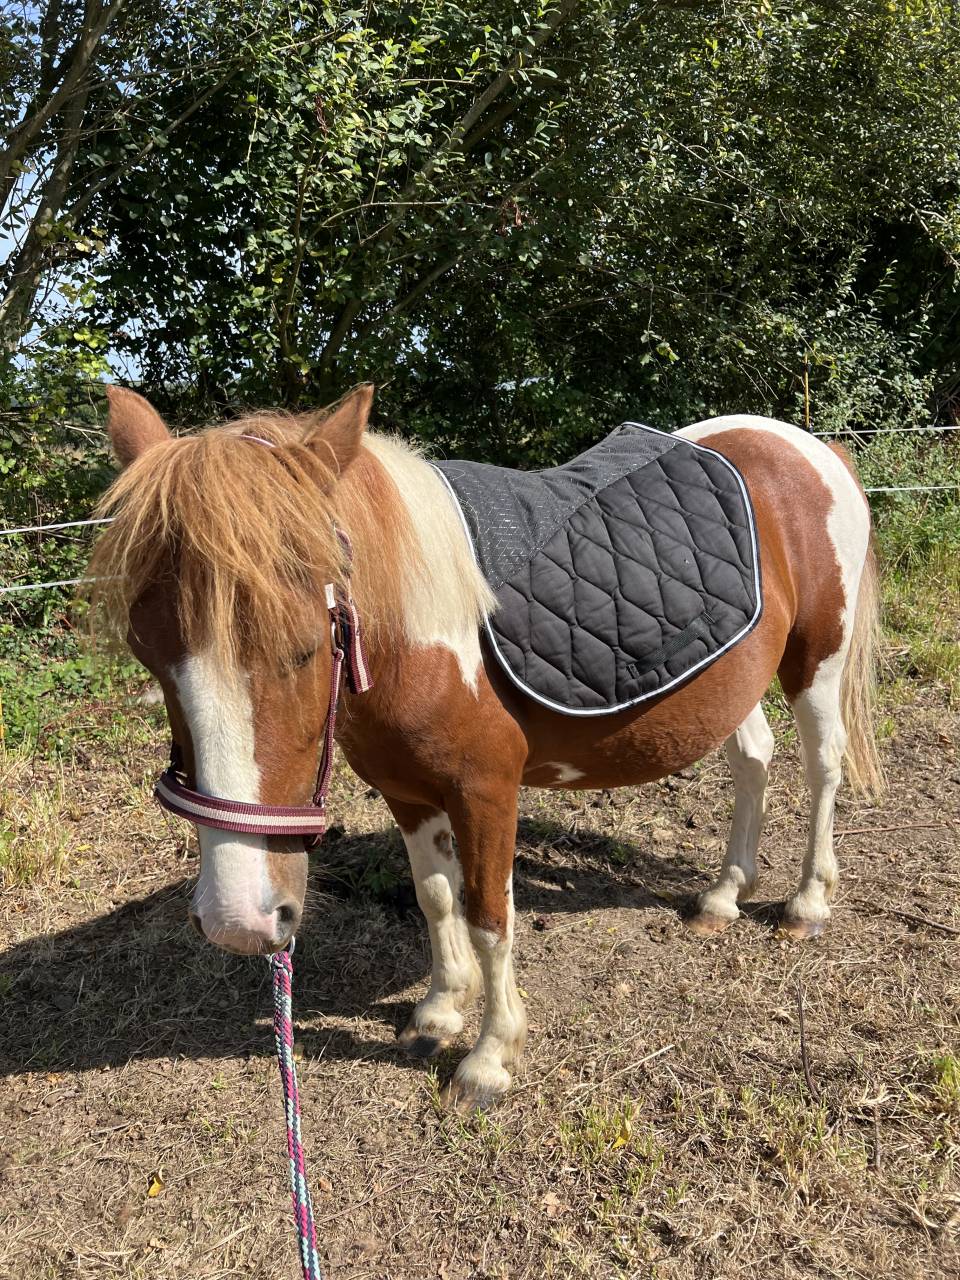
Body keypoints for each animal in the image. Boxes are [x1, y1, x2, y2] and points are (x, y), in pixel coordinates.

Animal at [88, 383, 881, 1112]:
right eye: (149, 655)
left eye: (308, 645)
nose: (239, 922)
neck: (418, 634)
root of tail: (808, 446)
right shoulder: (408, 792)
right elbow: (436, 897)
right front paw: (440, 1011)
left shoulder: (487, 790)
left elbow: (490, 918)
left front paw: (489, 1059)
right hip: (732, 684)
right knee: (754, 759)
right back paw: (723, 895)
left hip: (817, 660)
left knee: (822, 768)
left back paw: (807, 902)